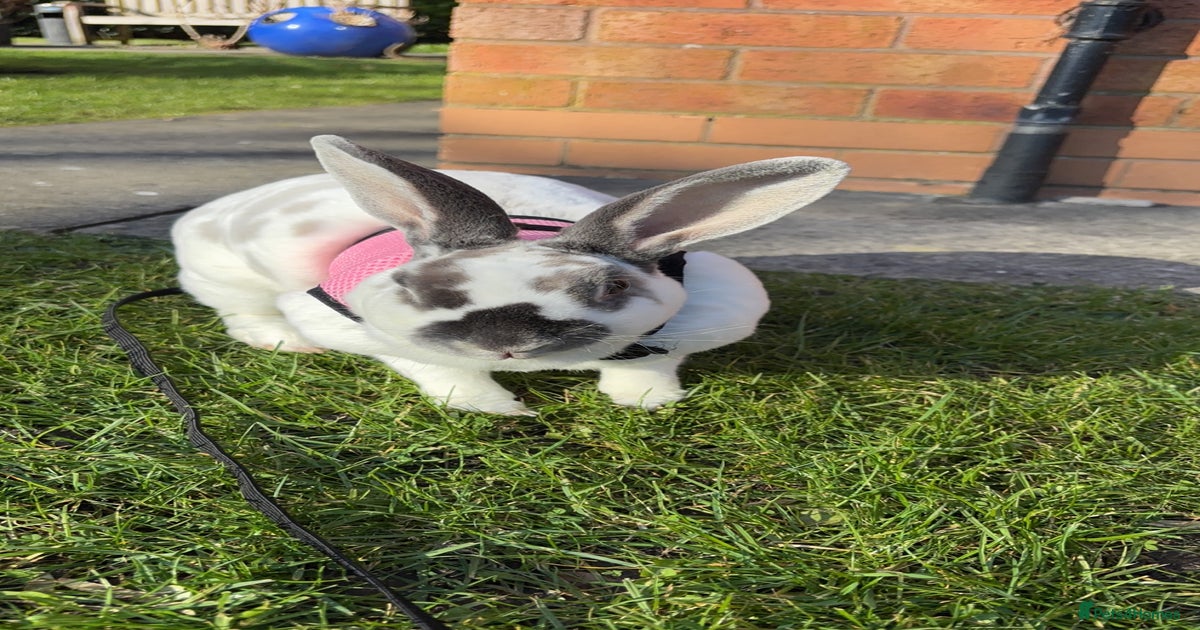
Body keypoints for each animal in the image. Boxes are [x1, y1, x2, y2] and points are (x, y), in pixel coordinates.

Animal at [172, 135, 850, 415]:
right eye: (415, 288)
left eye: (613, 287)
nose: (508, 341)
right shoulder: (370, 333)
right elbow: (444, 372)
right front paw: (500, 410)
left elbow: (649, 364)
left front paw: (647, 402)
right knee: (242, 309)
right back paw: (281, 340)